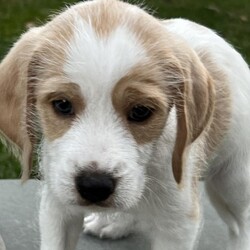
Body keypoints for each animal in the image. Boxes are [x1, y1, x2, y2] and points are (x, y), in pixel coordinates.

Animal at [0, 0, 250, 250]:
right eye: (62, 104)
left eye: (141, 111)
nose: (94, 186)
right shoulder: (58, 206)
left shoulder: (178, 222)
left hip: (234, 180)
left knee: (241, 224)